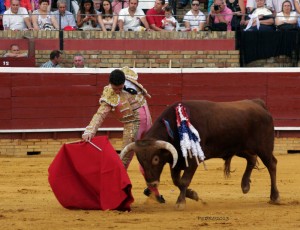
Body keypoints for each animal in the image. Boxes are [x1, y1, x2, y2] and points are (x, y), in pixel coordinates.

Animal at [119, 99, 278, 208]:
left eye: (156, 159)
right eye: (139, 160)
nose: (152, 183)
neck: (174, 128)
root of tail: (258, 103)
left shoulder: (192, 160)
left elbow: (183, 181)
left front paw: (180, 202)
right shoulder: (176, 162)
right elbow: (177, 181)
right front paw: (193, 195)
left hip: (264, 148)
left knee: (272, 164)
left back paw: (274, 197)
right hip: (239, 148)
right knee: (251, 158)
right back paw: (245, 186)